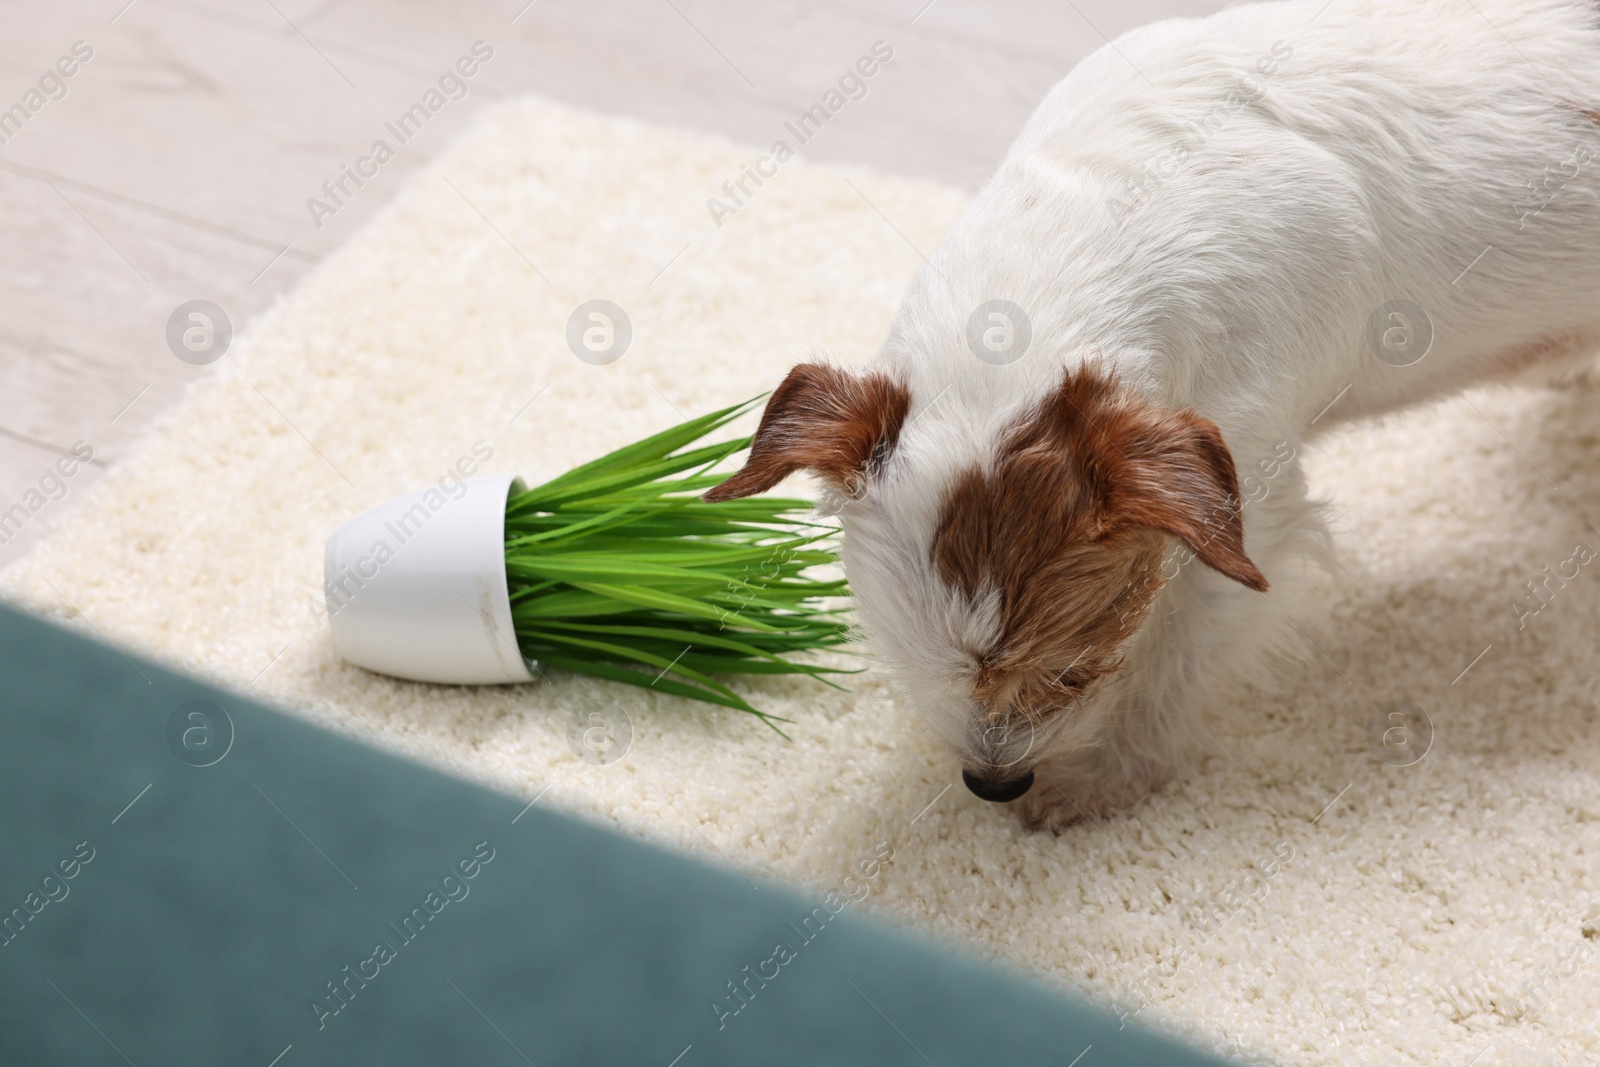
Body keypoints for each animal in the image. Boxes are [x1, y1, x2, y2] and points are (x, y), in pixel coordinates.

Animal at [707, 0, 1600, 825]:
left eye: (1075, 670)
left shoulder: (1249, 505)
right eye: (906, 657)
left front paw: (1106, 774)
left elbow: (1180, 652)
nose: (994, 782)